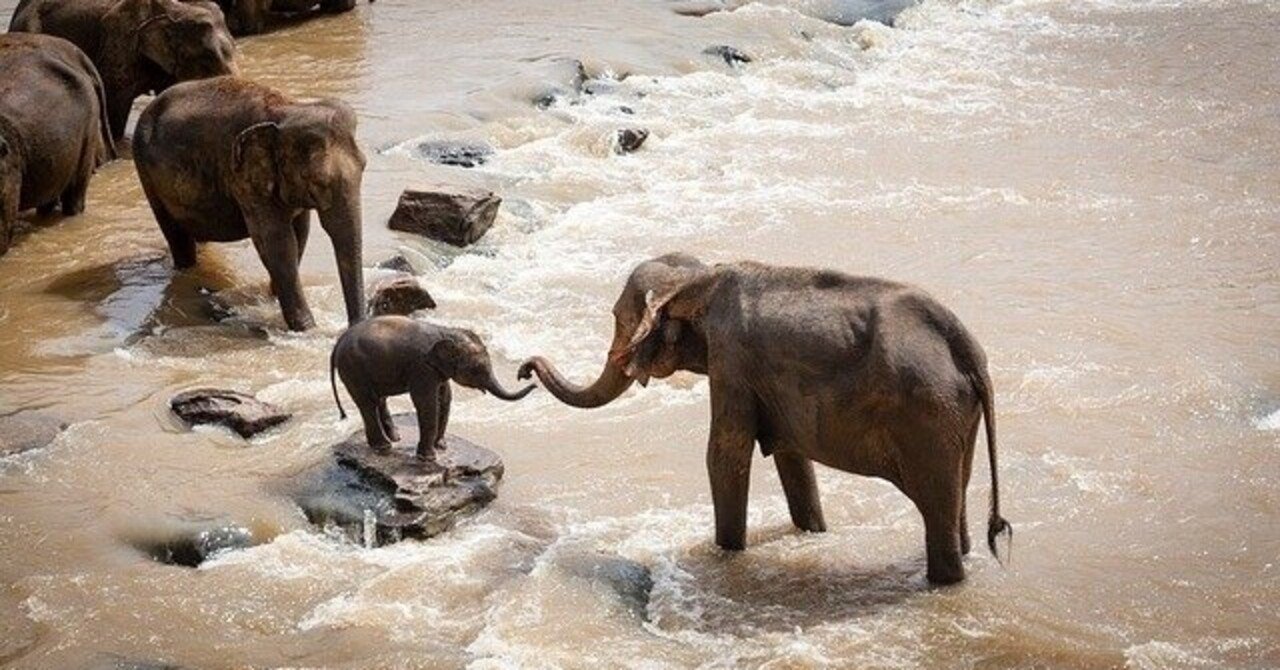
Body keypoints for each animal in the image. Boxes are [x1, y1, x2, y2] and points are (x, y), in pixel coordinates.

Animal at [132, 76, 366, 331]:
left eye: (364, 166)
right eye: (317, 181)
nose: (353, 326)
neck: (287, 109)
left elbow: (300, 234)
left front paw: (274, 298)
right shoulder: (244, 178)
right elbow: (276, 241)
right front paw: (306, 329)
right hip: (146, 174)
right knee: (176, 236)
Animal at [330, 315, 535, 460]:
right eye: (477, 370)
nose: (528, 377)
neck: (446, 331)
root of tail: (338, 343)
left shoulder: (437, 370)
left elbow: (445, 398)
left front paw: (441, 446)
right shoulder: (422, 367)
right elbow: (427, 403)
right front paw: (428, 457)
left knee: (379, 399)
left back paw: (395, 438)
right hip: (353, 368)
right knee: (368, 402)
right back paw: (383, 446)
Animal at [519, 254, 1012, 585]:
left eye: (618, 318)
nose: (524, 370)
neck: (699, 278)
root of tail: (967, 349)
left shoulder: (731, 361)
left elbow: (724, 453)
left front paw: (725, 555)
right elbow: (793, 457)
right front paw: (813, 531)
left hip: (928, 415)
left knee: (937, 507)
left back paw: (943, 581)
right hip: (955, 418)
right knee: (956, 498)